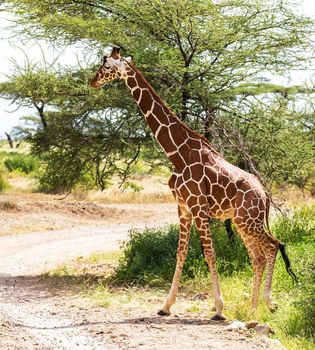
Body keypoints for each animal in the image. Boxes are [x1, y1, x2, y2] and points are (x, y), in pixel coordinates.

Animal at [90, 47, 298, 322]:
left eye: (105, 65)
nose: (92, 81)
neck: (177, 154)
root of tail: (264, 194)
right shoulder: (183, 208)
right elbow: (181, 252)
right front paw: (166, 306)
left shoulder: (199, 208)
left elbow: (209, 253)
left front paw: (219, 309)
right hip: (242, 222)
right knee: (259, 256)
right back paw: (253, 307)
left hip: (247, 220)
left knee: (273, 246)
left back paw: (266, 302)